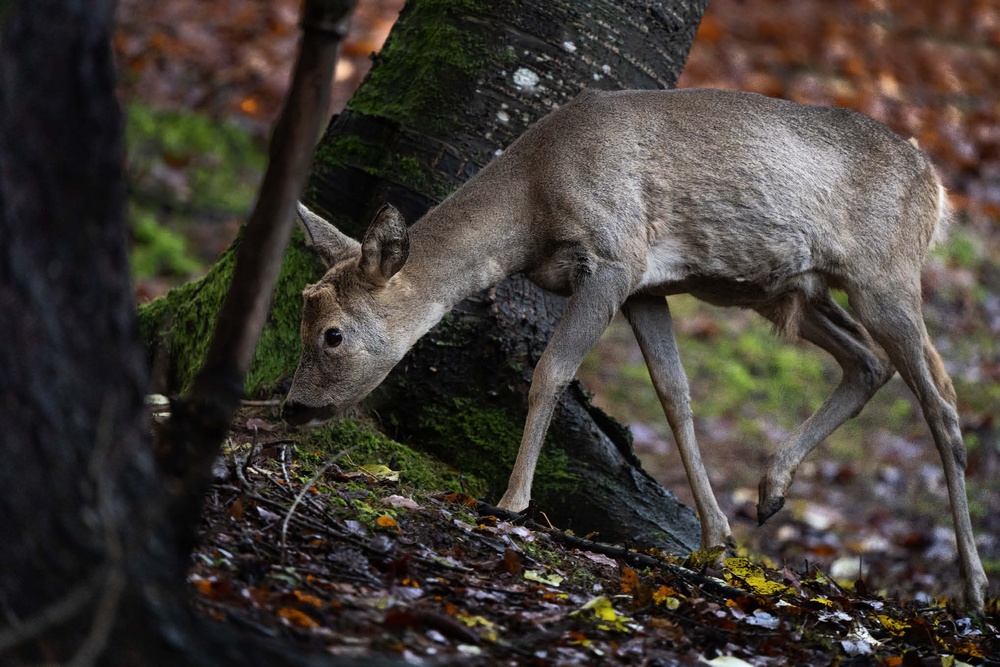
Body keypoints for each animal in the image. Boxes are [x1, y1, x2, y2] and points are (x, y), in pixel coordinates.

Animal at [286, 88, 988, 612]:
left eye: (333, 334)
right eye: (301, 313)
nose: (293, 406)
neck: (535, 202)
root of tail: (938, 186)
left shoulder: (615, 256)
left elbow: (551, 370)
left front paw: (512, 502)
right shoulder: (647, 287)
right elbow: (675, 395)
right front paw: (715, 538)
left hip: (885, 274)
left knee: (942, 401)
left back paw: (976, 589)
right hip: (793, 291)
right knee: (869, 363)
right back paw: (770, 490)